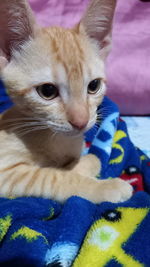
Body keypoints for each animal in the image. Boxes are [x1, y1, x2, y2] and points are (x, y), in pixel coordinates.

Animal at [0, 0, 132, 203]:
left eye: (94, 86)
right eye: (47, 91)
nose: (81, 121)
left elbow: (69, 166)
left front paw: (86, 162)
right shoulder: (7, 173)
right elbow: (53, 176)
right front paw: (105, 186)